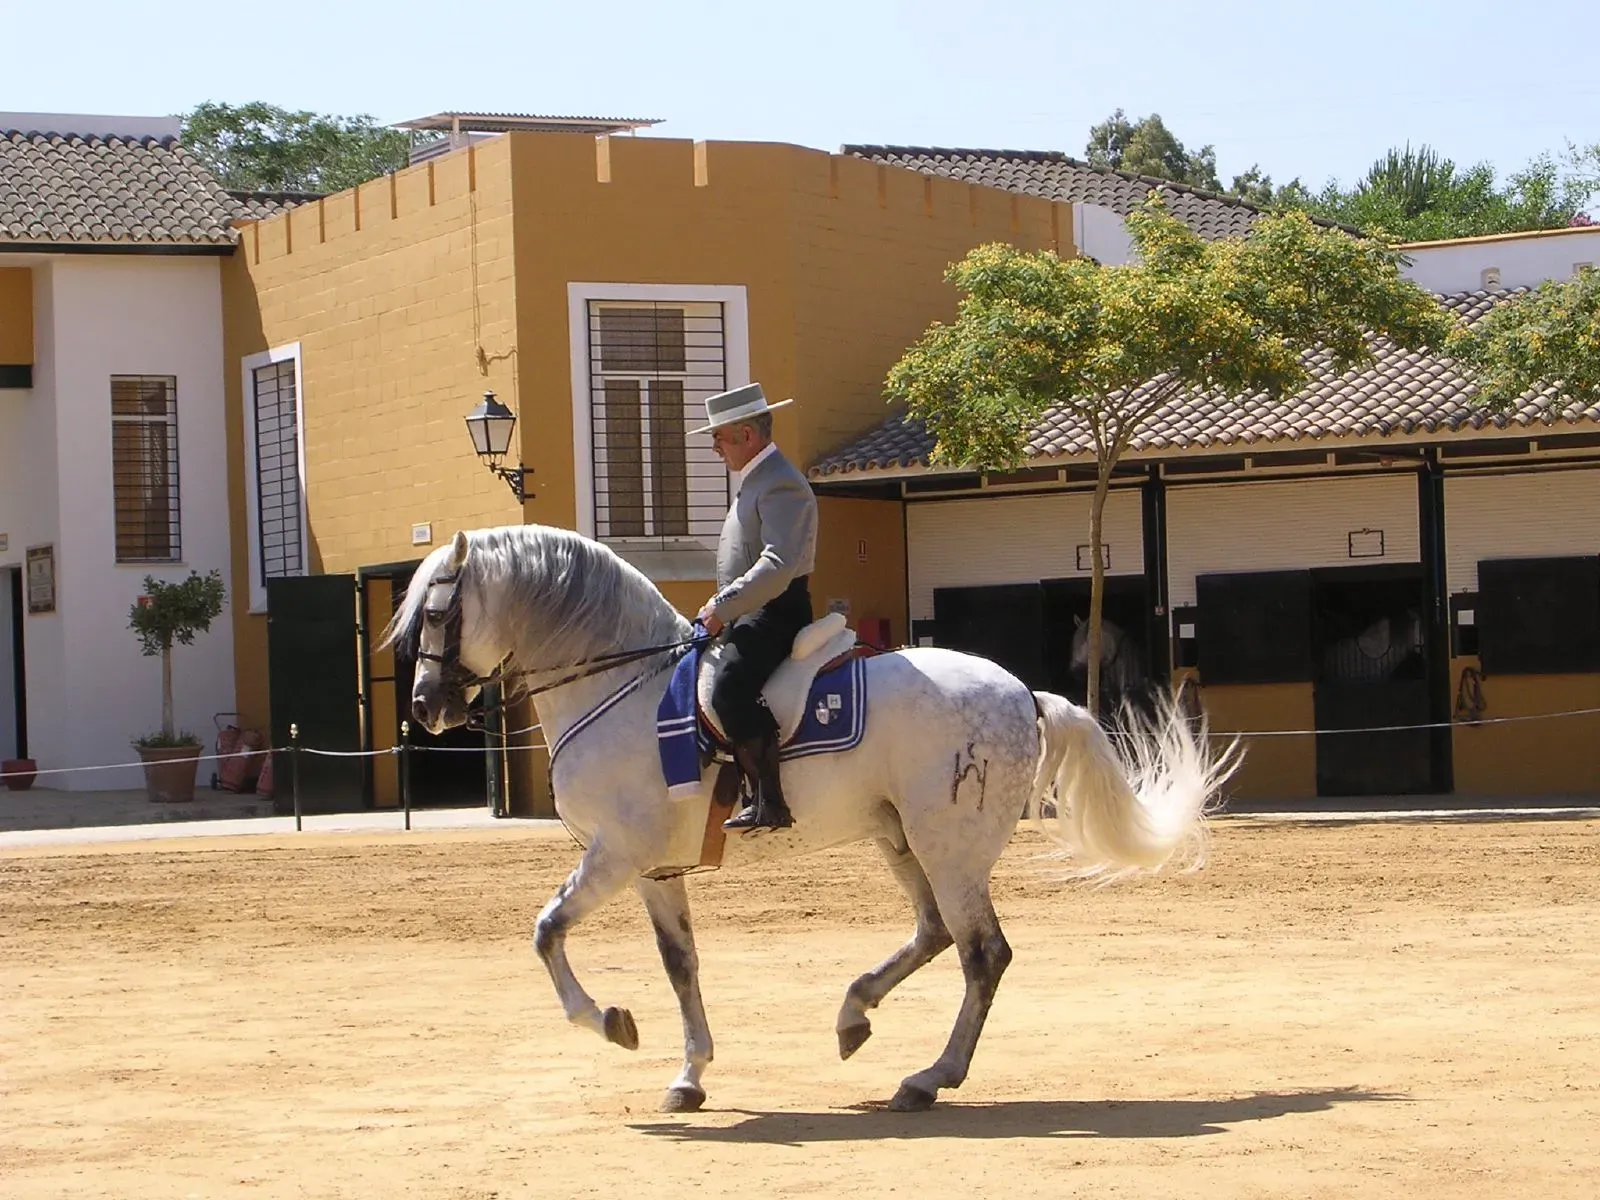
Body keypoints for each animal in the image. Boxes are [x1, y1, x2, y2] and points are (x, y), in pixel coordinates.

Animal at [382, 524, 1240, 1114]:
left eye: (439, 613)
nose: (424, 708)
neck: (625, 685)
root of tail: (1024, 693)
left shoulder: (614, 854)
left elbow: (547, 931)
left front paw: (610, 1022)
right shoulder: (654, 868)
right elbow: (681, 966)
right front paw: (689, 1075)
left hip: (950, 847)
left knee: (981, 954)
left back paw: (930, 1077)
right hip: (900, 840)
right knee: (934, 935)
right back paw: (855, 1016)